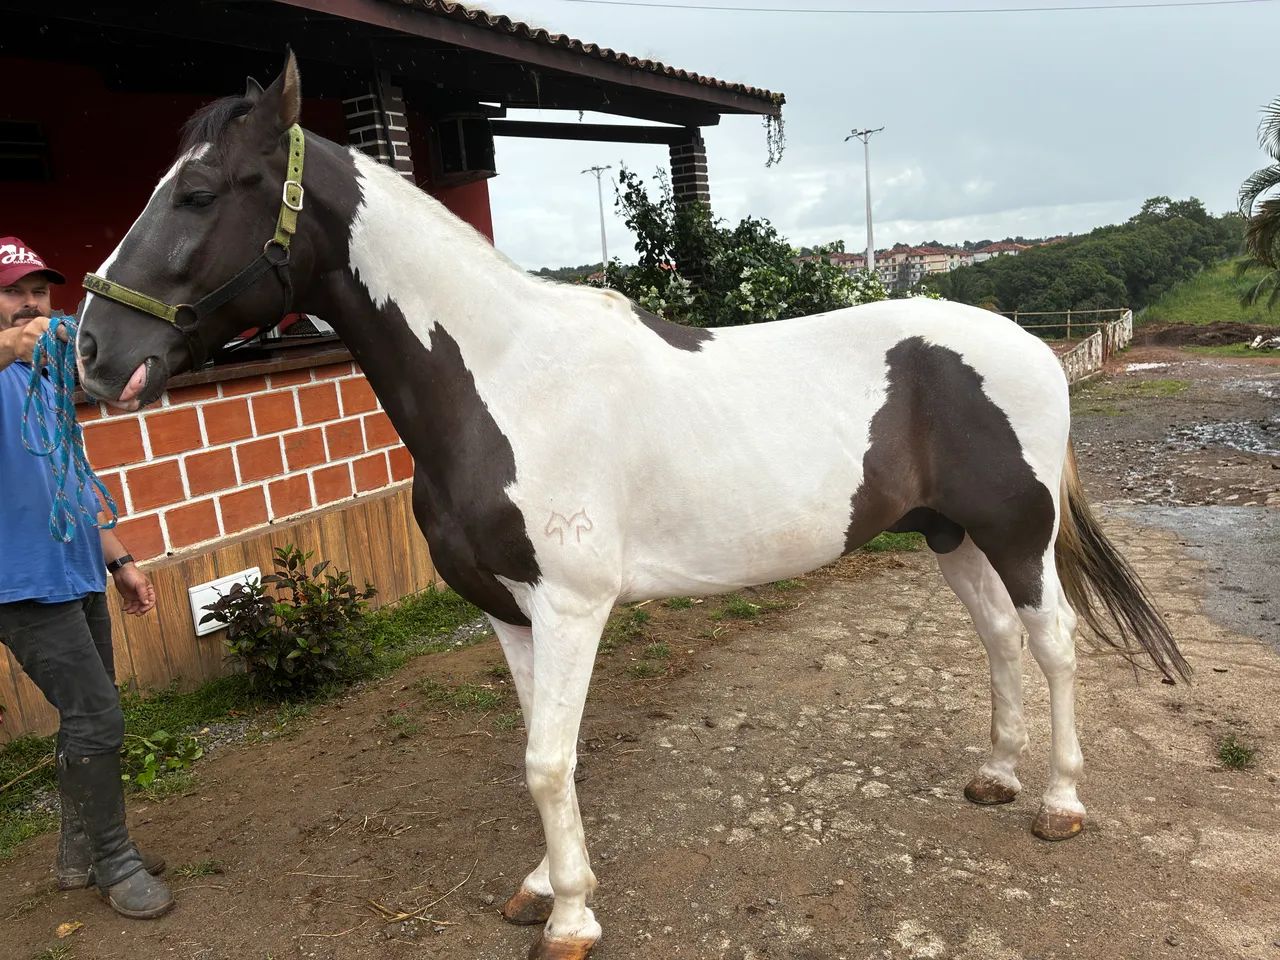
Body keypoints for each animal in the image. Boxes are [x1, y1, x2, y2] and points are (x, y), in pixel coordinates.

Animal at [75, 54, 1188, 959]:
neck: (503, 380)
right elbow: (539, 753)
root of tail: (1024, 341)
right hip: (949, 535)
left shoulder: (571, 607)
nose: (90, 352)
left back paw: (1057, 802)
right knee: (997, 641)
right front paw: (541, 887)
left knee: (1050, 647)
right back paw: (995, 776)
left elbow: (545, 759)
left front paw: (571, 916)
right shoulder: (508, 612)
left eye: (199, 192)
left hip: (1017, 534)